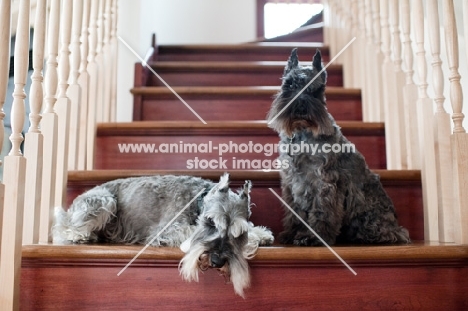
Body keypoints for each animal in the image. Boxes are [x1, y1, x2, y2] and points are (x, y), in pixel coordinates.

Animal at [53, 173, 274, 298]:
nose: (217, 260)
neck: (199, 200)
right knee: (64, 228)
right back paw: (80, 236)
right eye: (211, 222)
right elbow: (190, 231)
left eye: (239, 233)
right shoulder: (169, 230)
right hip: (103, 200)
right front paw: (255, 239)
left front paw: (259, 234)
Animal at [266, 48, 410, 247]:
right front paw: (292, 233)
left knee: (388, 233)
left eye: (316, 90)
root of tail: (395, 224)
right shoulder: (291, 181)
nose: (301, 108)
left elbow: (322, 210)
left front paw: (314, 236)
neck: (303, 133)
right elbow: (294, 210)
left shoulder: (325, 181)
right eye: (289, 84)